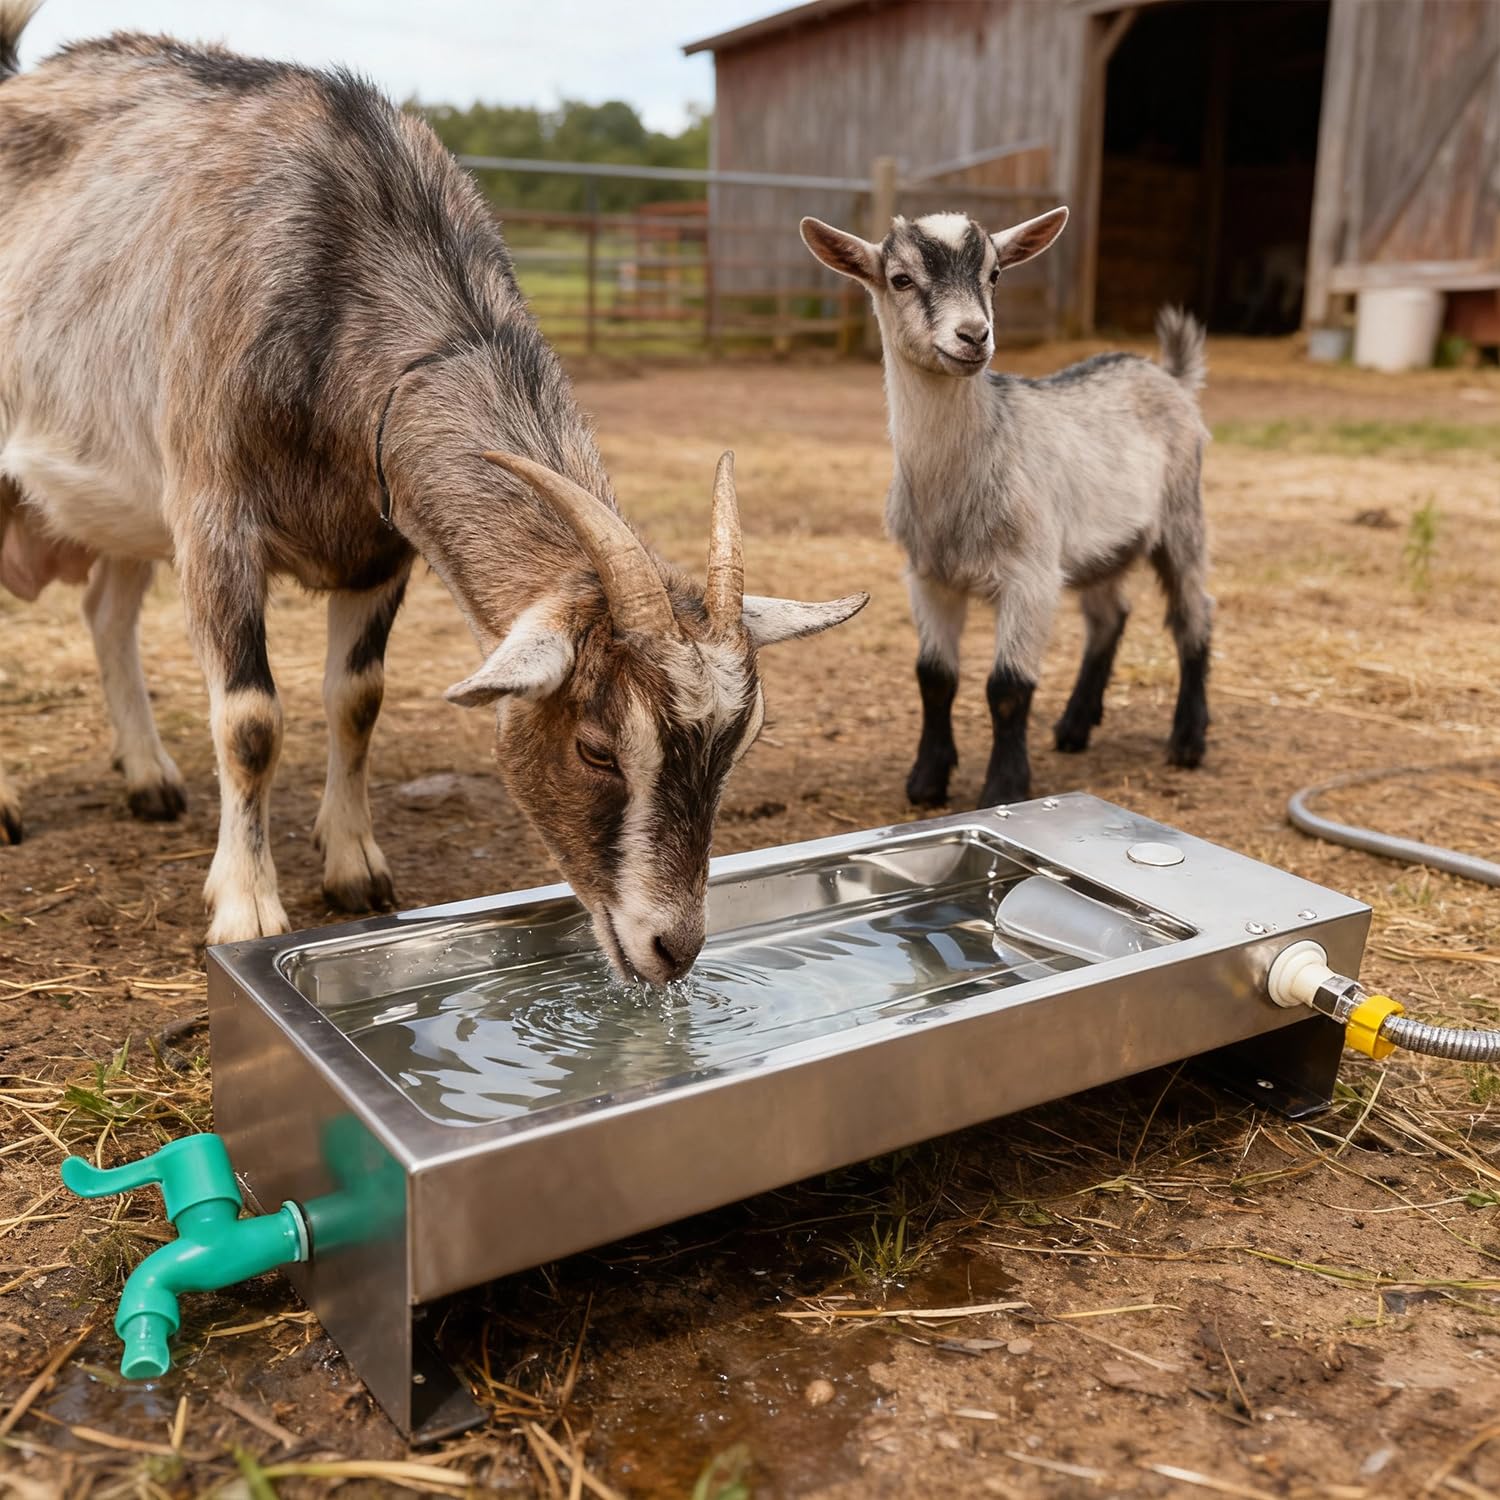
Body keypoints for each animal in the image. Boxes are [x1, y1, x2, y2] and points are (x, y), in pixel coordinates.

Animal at [0, 12, 867, 981]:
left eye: (739, 747)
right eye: (597, 747)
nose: (672, 948)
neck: (343, 266)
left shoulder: (381, 544)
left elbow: (358, 697)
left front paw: (354, 868)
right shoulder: (213, 516)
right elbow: (251, 720)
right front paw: (248, 908)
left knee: (106, 612)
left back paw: (149, 778)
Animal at [800, 206, 1212, 809]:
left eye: (994, 275)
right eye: (900, 279)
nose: (974, 335)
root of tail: (1167, 374)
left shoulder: (1030, 576)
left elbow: (1008, 687)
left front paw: (1003, 788)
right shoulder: (929, 577)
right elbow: (934, 677)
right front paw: (927, 781)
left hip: (1183, 514)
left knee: (1192, 615)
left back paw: (1187, 741)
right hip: (1103, 547)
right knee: (1109, 617)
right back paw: (1074, 726)